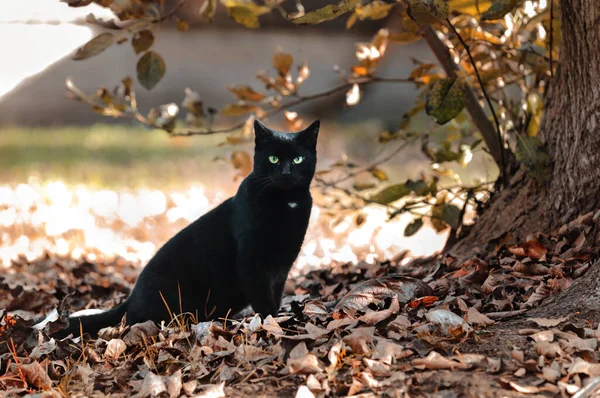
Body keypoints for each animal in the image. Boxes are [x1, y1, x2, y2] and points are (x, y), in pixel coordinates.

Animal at [55, 119, 318, 338]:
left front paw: (279, 316)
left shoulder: (283, 263)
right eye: (273, 159)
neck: (286, 202)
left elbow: (276, 293)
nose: (286, 172)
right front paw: (272, 321)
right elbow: (263, 298)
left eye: (297, 159)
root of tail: (131, 298)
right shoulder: (252, 260)